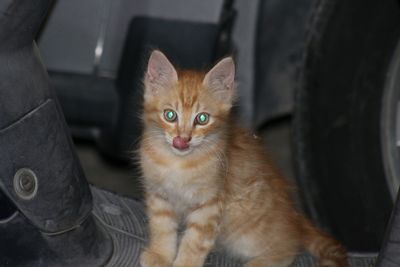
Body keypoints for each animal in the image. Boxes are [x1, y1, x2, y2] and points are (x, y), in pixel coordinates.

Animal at [138, 50, 346, 267]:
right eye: (170, 115)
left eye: (202, 119)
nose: (182, 139)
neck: (178, 163)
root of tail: (295, 217)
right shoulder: (159, 196)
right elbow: (162, 229)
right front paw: (160, 255)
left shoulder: (210, 204)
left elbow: (195, 240)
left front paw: (185, 263)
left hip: (245, 232)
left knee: (288, 249)